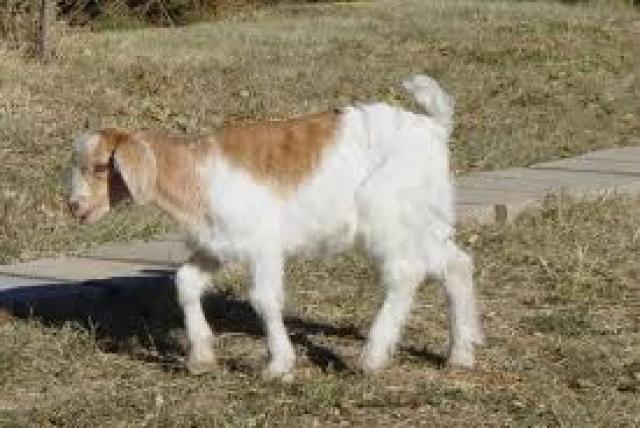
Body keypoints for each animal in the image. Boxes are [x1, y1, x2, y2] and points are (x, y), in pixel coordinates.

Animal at [67, 75, 483, 380]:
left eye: (101, 166)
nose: (74, 207)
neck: (196, 174)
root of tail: (435, 127)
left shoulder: (262, 245)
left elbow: (263, 298)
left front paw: (278, 365)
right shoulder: (217, 245)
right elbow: (185, 282)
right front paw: (200, 357)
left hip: (386, 214)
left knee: (405, 273)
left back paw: (371, 357)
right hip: (424, 219)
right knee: (456, 264)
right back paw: (460, 354)